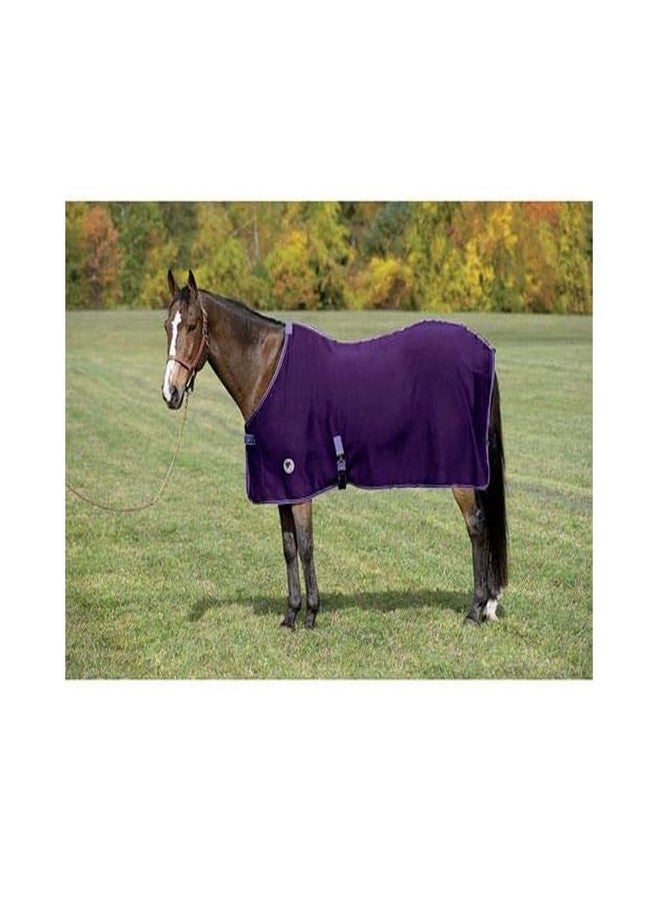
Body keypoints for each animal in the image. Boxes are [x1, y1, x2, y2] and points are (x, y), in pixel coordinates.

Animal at [162, 269, 508, 629]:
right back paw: (486, 605)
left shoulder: (298, 480)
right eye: (166, 325)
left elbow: (306, 545)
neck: (269, 371)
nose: (170, 392)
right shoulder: (280, 484)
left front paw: (311, 613)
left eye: (191, 326)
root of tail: (483, 352)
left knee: (477, 527)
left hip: (463, 471)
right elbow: (288, 547)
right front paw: (291, 614)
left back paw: (475, 609)